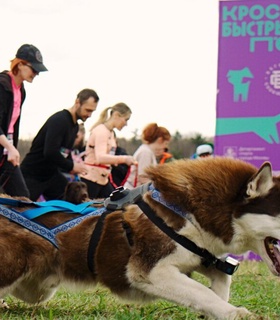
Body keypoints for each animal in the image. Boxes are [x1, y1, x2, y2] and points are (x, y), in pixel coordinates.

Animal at [0, 158, 280, 320]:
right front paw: (235, 312)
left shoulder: (201, 256)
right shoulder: (149, 270)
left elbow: (220, 282)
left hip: (37, 290)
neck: (190, 214)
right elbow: (202, 292)